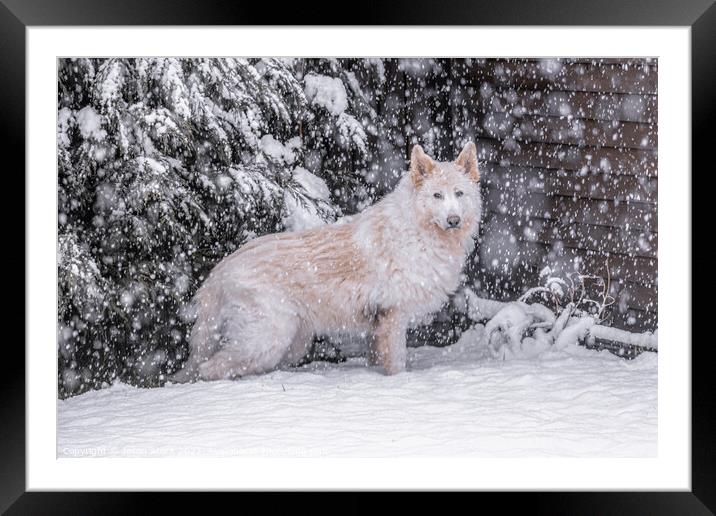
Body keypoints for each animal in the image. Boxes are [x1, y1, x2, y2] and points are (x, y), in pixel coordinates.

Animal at [174, 143, 484, 380]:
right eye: (437, 195)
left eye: (459, 194)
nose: (453, 220)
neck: (419, 231)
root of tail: (221, 269)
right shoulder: (394, 315)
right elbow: (396, 364)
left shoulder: (378, 326)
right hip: (267, 339)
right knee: (211, 367)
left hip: (291, 343)